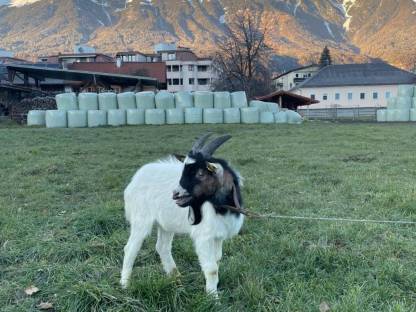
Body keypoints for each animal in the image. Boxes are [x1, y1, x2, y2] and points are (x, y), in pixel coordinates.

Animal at [119, 133, 244, 294]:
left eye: (200, 173)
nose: (176, 194)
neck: (221, 208)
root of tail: (134, 180)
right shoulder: (204, 236)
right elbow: (211, 269)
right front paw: (213, 297)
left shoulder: (218, 235)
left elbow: (216, 261)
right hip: (141, 219)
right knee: (130, 248)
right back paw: (125, 284)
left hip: (165, 224)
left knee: (162, 247)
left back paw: (176, 279)